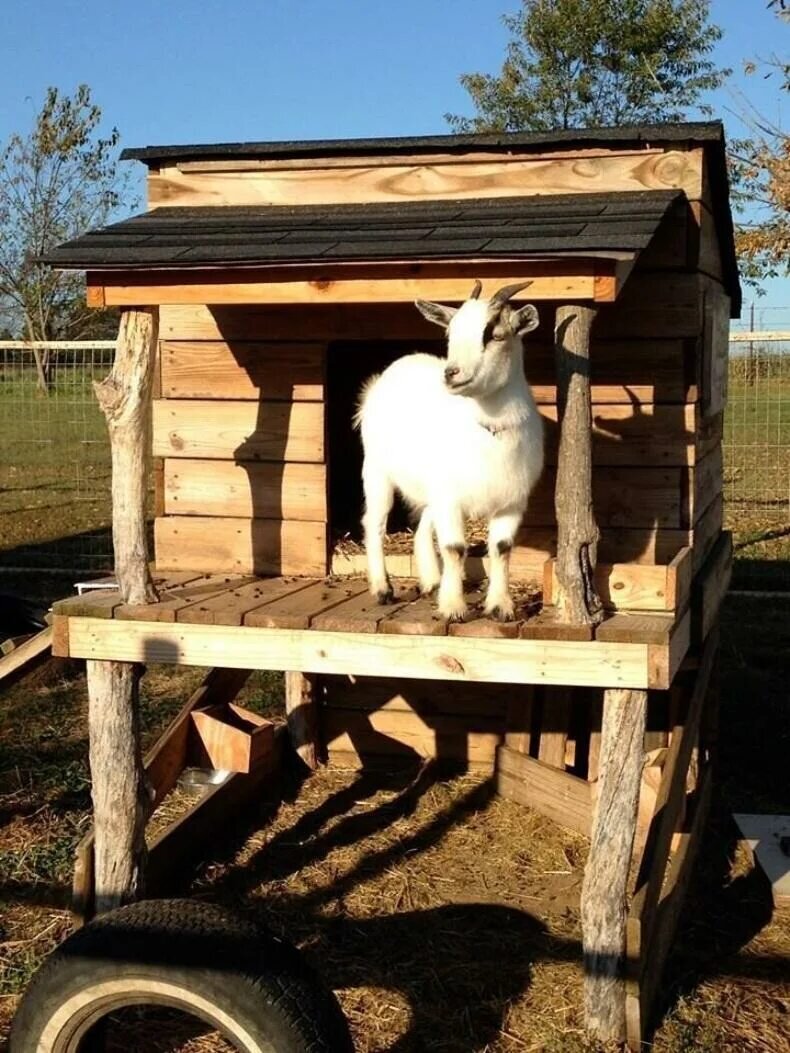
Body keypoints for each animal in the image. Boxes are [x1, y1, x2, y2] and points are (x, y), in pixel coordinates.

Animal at [358, 282, 543, 623]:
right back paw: (382, 589)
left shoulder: (512, 500)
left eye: (494, 335)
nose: (451, 373)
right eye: (450, 334)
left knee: (421, 528)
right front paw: (454, 608)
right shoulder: (450, 497)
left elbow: (502, 547)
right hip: (376, 469)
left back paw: (431, 581)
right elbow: (455, 548)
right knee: (374, 522)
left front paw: (501, 607)